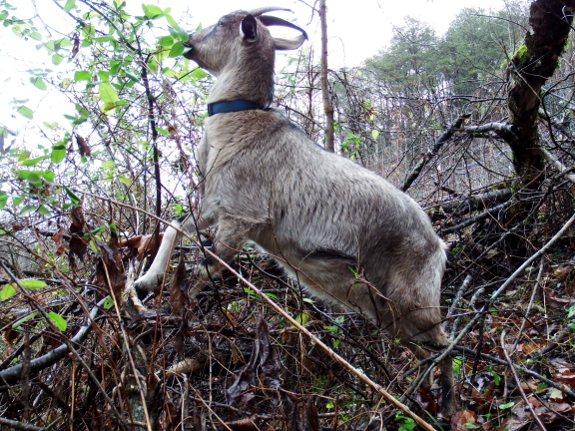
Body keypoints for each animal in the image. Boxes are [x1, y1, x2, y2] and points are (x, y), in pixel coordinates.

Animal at [133, 6, 456, 416]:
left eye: (222, 23)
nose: (187, 40)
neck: (239, 122)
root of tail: (438, 245)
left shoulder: (240, 217)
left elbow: (204, 268)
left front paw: (169, 313)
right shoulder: (213, 206)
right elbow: (175, 224)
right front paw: (144, 282)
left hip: (412, 300)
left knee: (444, 347)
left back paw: (444, 406)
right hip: (384, 311)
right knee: (422, 349)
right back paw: (418, 399)